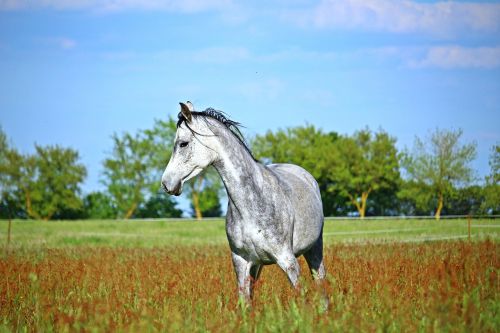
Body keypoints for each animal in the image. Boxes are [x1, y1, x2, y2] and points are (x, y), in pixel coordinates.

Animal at [160, 101, 330, 304]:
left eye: (183, 143)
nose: (166, 183)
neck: (252, 203)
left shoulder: (288, 261)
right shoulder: (241, 262)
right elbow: (245, 302)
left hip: (314, 249)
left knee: (321, 286)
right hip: (257, 266)